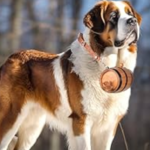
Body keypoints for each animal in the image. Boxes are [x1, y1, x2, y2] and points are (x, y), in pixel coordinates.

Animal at [0, 0, 141, 150]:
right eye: (114, 16)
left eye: (130, 14)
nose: (132, 20)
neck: (104, 63)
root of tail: (11, 58)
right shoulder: (81, 121)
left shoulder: (108, 127)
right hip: (11, 116)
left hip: (33, 126)